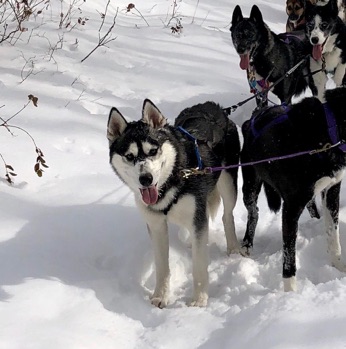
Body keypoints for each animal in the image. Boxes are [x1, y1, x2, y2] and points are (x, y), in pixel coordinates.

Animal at [239, 86, 346, 290]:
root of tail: (252, 118)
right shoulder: (291, 207)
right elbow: (289, 256)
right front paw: (290, 293)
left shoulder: (331, 192)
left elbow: (333, 234)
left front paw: (339, 266)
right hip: (249, 186)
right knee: (253, 212)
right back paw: (247, 244)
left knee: (312, 206)